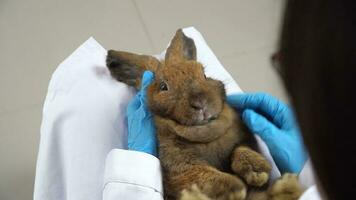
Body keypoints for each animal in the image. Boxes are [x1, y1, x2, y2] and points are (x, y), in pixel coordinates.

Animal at [105, 28, 300, 199]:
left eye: (204, 74)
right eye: (163, 87)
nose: (201, 103)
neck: (206, 132)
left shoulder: (245, 140)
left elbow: (240, 150)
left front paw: (257, 171)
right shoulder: (180, 169)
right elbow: (203, 175)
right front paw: (236, 188)